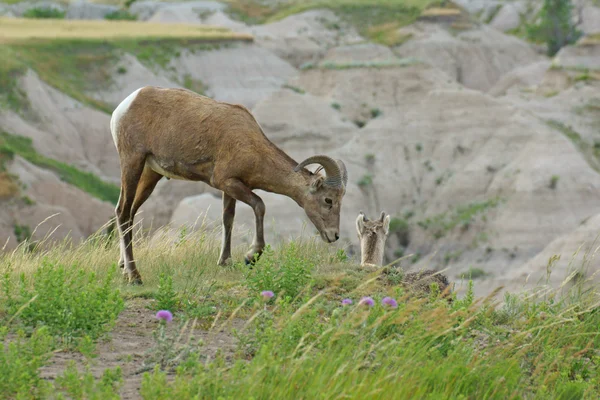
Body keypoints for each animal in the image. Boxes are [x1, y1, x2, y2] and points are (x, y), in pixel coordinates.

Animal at [110, 86, 350, 284]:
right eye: (328, 200)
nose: (334, 236)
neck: (251, 145)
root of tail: (124, 106)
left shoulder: (230, 188)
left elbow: (228, 219)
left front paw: (225, 262)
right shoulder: (228, 182)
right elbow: (259, 205)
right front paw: (250, 257)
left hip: (150, 174)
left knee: (130, 213)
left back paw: (123, 267)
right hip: (132, 162)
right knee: (122, 211)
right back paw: (134, 276)